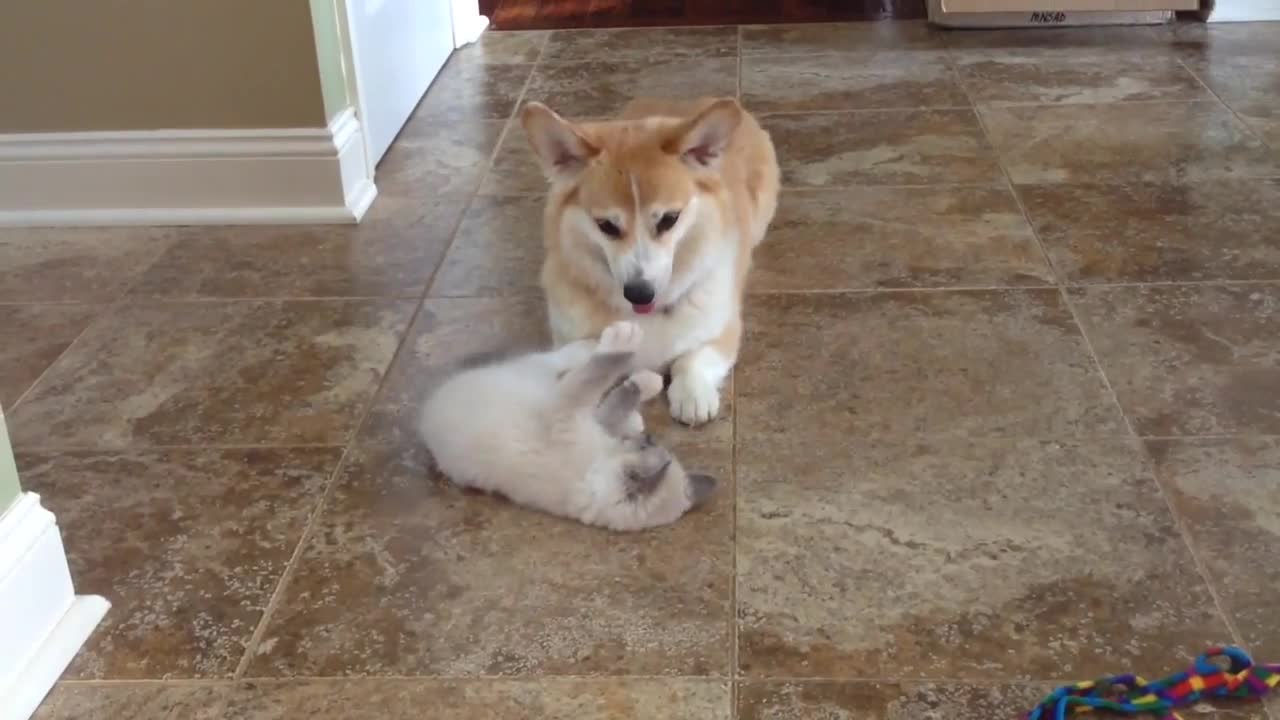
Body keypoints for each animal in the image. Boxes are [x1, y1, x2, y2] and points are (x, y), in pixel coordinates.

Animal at [517, 92, 778, 422]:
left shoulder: (723, 330)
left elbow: (693, 357)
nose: (639, 293)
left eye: (669, 219)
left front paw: (692, 394)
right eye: (606, 225)